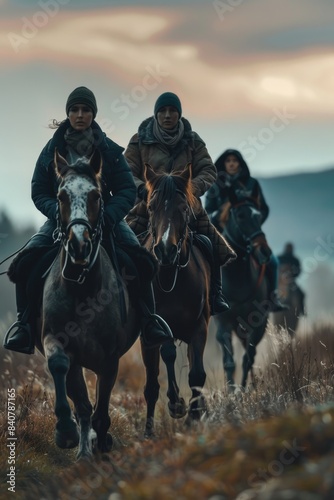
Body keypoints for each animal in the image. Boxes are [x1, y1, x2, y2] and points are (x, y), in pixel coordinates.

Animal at [23, 153, 140, 460]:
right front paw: (67, 434)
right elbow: (62, 372)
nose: (79, 245)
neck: (82, 288)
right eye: (61, 196)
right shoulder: (59, 342)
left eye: (96, 195)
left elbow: (101, 410)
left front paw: (102, 445)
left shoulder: (109, 359)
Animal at [142, 165, 211, 438]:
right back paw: (150, 430)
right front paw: (176, 404)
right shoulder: (157, 327)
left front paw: (194, 414)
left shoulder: (200, 325)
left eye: (183, 207)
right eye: (151, 207)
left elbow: (197, 374)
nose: (165, 250)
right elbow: (168, 356)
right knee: (152, 382)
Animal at [213, 201, 272, 392]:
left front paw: (242, 391)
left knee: (250, 356)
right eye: (240, 216)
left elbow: (247, 359)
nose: (265, 252)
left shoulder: (256, 323)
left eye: (259, 216)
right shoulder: (223, 322)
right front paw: (231, 391)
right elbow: (229, 362)